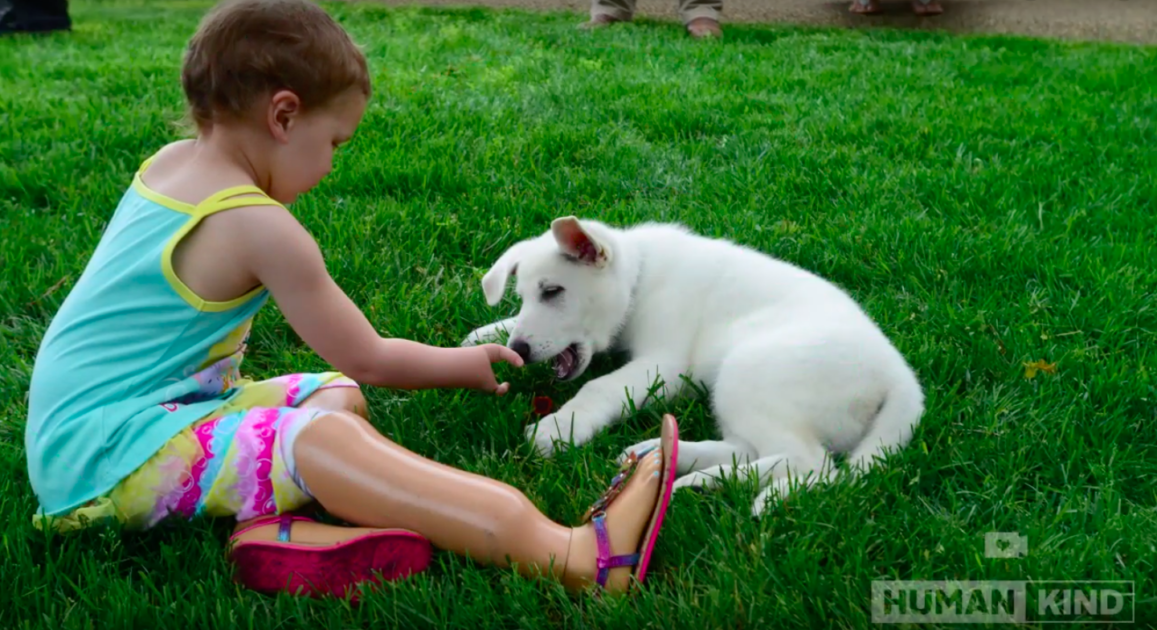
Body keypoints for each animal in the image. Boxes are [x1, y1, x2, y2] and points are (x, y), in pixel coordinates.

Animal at [460, 216, 920, 515]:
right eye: (523, 296)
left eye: (553, 291)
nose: (520, 350)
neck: (639, 279)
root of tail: (902, 379)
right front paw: (484, 336)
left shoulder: (664, 365)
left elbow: (599, 387)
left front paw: (559, 427)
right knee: (754, 449)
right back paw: (680, 465)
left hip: (747, 372)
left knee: (811, 463)